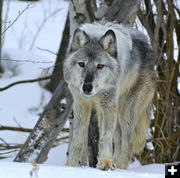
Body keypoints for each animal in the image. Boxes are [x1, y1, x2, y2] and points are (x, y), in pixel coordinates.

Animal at [63, 20, 155, 170]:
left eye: (100, 66)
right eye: (81, 64)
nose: (87, 87)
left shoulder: (107, 106)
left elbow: (105, 137)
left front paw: (105, 162)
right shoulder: (81, 105)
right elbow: (77, 139)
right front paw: (70, 165)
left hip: (124, 114)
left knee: (127, 146)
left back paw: (120, 167)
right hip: (112, 114)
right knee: (117, 141)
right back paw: (115, 164)